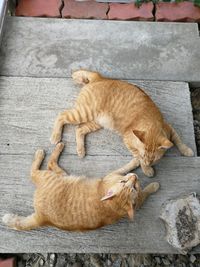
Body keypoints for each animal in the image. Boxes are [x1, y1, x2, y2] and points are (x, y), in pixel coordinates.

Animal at [1, 142, 159, 232]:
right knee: (37, 169)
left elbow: (145, 192)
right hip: (54, 176)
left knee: (48, 165)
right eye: (123, 183)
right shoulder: (115, 174)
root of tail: (43, 218)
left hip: (61, 175)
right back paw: (47, 151)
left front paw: (151, 184)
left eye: (134, 187)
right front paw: (137, 164)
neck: (112, 205)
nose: (135, 177)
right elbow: (127, 167)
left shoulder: (138, 201)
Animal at [50, 70, 194, 178]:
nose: (148, 163)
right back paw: (55, 136)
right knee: (61, 116)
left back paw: (80, 150)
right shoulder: (128, 140)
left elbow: (178, 139)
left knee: (79, 129)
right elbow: (137, 157)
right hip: (83, 113)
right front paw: (146, 169)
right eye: (145, 156)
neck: (151, 122)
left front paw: (186, 150)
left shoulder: (169, 128)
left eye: (154, 159)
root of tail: (100, 78)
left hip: (97, 122)